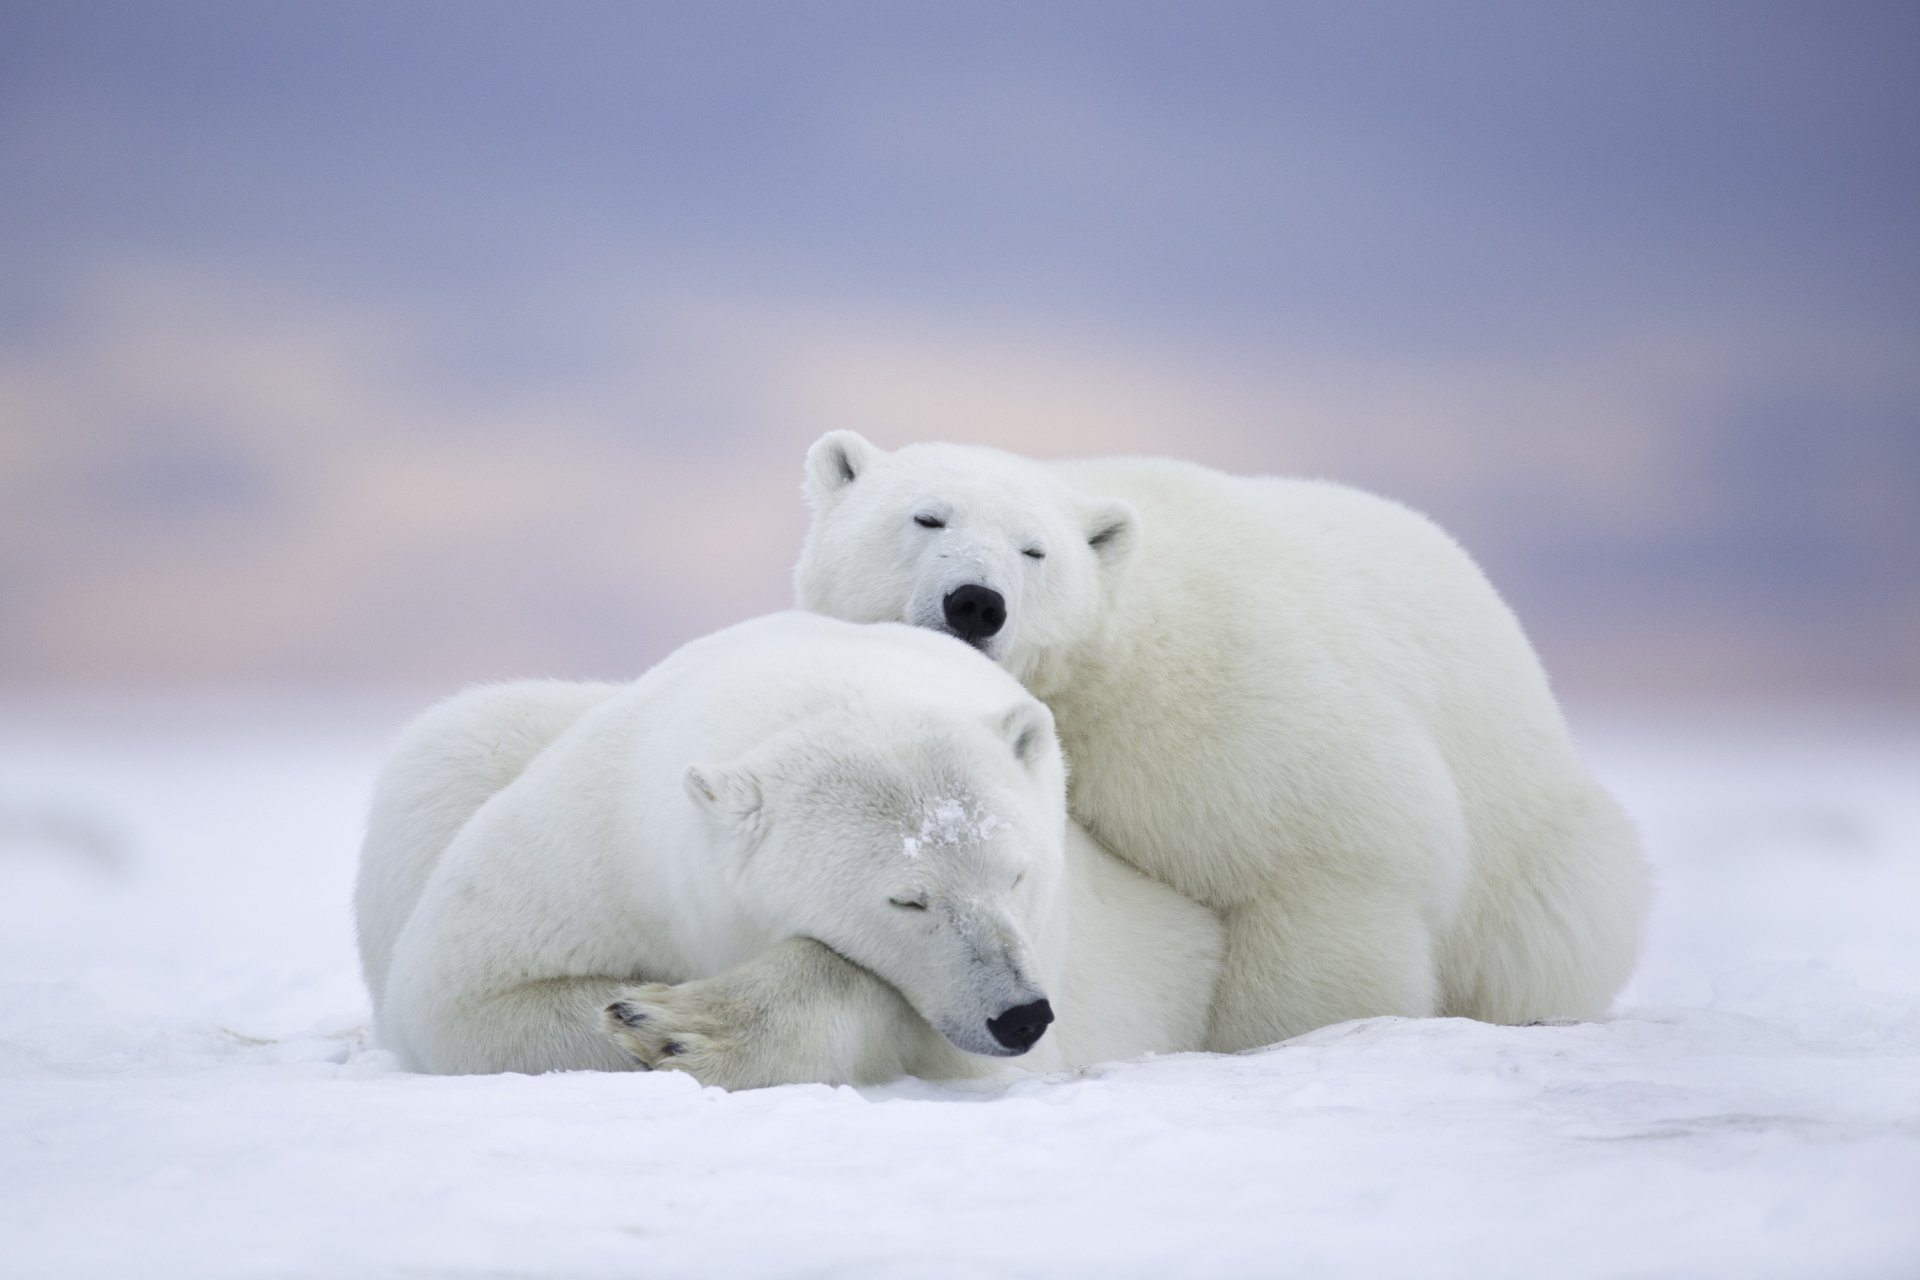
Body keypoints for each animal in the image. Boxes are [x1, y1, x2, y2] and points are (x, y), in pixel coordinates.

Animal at [354, 611, 1222, 1086]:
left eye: (1017, 874)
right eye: (908, 898)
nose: (1021, 1015)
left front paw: (683, 1025)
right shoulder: (600, 843)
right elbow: (462, 995)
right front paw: (643, 1014)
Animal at [794, 433, 1651, 1052]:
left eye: (1035, 550)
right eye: (927, 517)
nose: (976, 601)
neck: (1104, 665)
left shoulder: (1228, 708)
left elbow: (1325, 865)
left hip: (1536, 849)